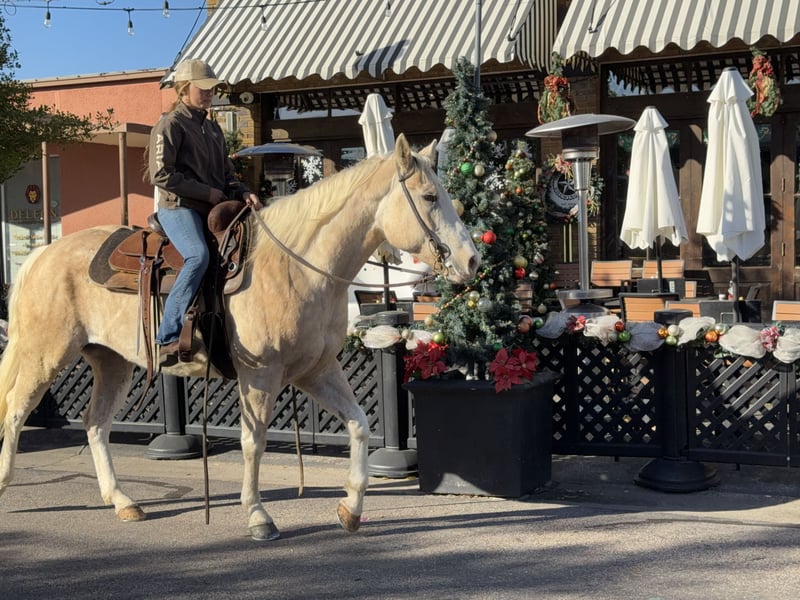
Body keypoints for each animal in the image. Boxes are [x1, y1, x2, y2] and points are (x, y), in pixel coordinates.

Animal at [0, 134, 480, 541]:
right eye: (430, 197)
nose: (472, 261)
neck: (296, 265)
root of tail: (43, 253)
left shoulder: (316, 370)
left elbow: (359, 424)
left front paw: (351, 508)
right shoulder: (261, 375)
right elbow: (254, 442)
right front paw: (258, 516)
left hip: (111, 361)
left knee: (95, 424)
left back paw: (123, 502)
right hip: (45, 355)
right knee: (17, 414)